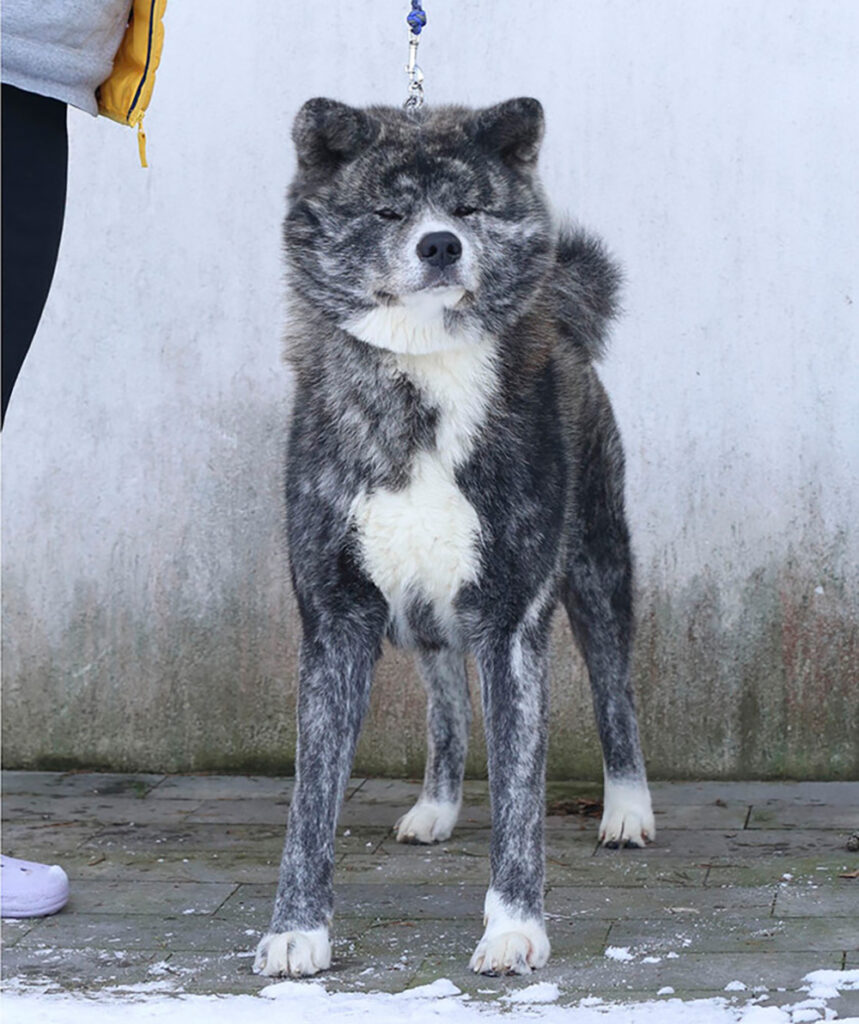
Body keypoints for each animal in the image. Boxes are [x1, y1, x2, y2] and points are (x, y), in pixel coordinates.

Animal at [253, 96, 655, 979]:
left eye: (469, 210)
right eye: (388, 213)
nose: (440, 244)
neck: (423, 379)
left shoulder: (510, 619)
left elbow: (519, 793)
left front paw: (513, 927)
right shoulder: (336, 617)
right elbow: (308, 799)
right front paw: (296, 929)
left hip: (597, 569)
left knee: (614, 689)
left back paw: (626, 809)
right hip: (422, 612)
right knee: (445, 703)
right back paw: (436, 806)